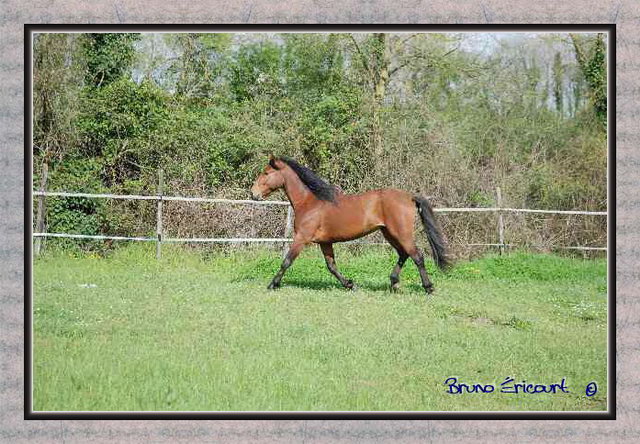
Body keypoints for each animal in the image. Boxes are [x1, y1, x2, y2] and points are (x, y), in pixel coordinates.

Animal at [250, 154, 450, 294]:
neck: (310, 203)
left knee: (417, 256)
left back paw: (428, 287)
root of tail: (409, 196)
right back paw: (394, 282)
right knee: (403, 254)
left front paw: (272, 284)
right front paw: (350, 284)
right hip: (389, 233)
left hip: (401, 233)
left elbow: (286, 261)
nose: (253, 194)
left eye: (266, 173)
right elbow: (331, 266)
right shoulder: (325, 242)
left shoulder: (302, 238)